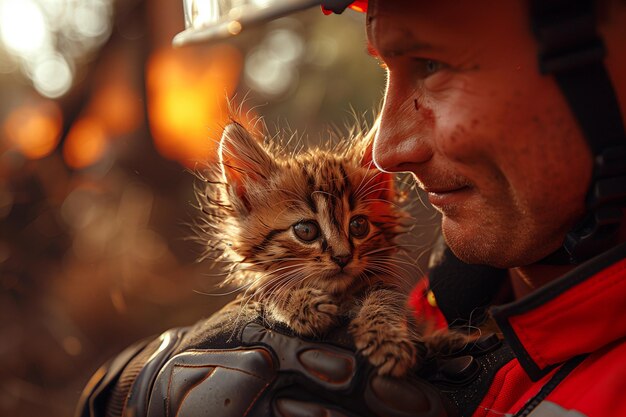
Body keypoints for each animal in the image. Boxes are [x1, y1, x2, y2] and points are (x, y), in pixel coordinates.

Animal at [195, 121, 424, 376]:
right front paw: (304, 305)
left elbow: (386, 298)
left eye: (358, 226)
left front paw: (387, 337)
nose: (343, 257)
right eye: (306, 230)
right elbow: (271, 286)